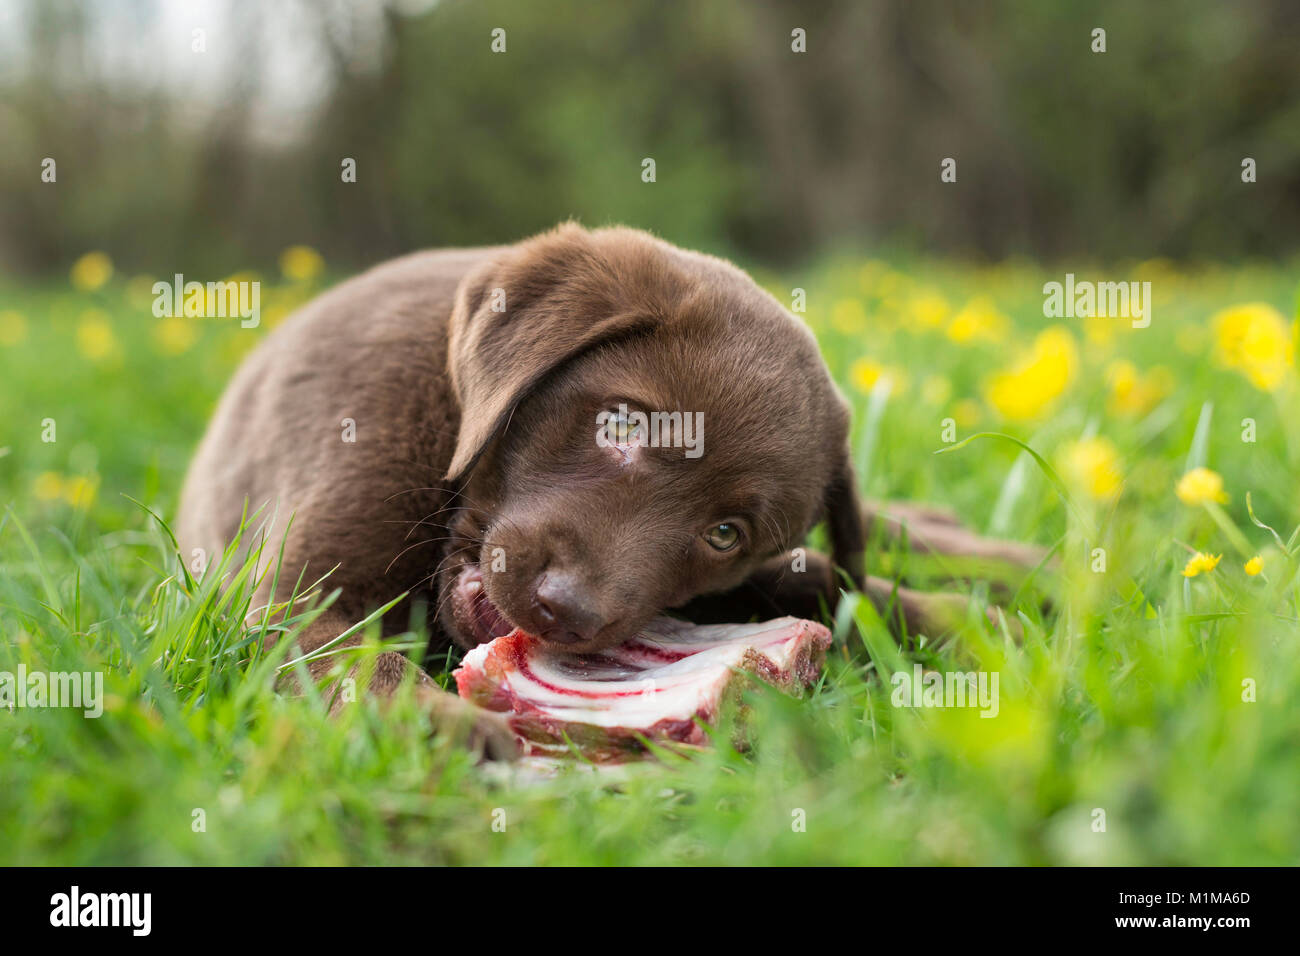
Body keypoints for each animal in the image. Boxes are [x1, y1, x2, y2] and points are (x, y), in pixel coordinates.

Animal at [172, 226, 863, 749]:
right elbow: (358, 664)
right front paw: (448, 729)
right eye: (621, 424)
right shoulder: (293, 593)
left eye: (725, 535)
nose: (568, 609)